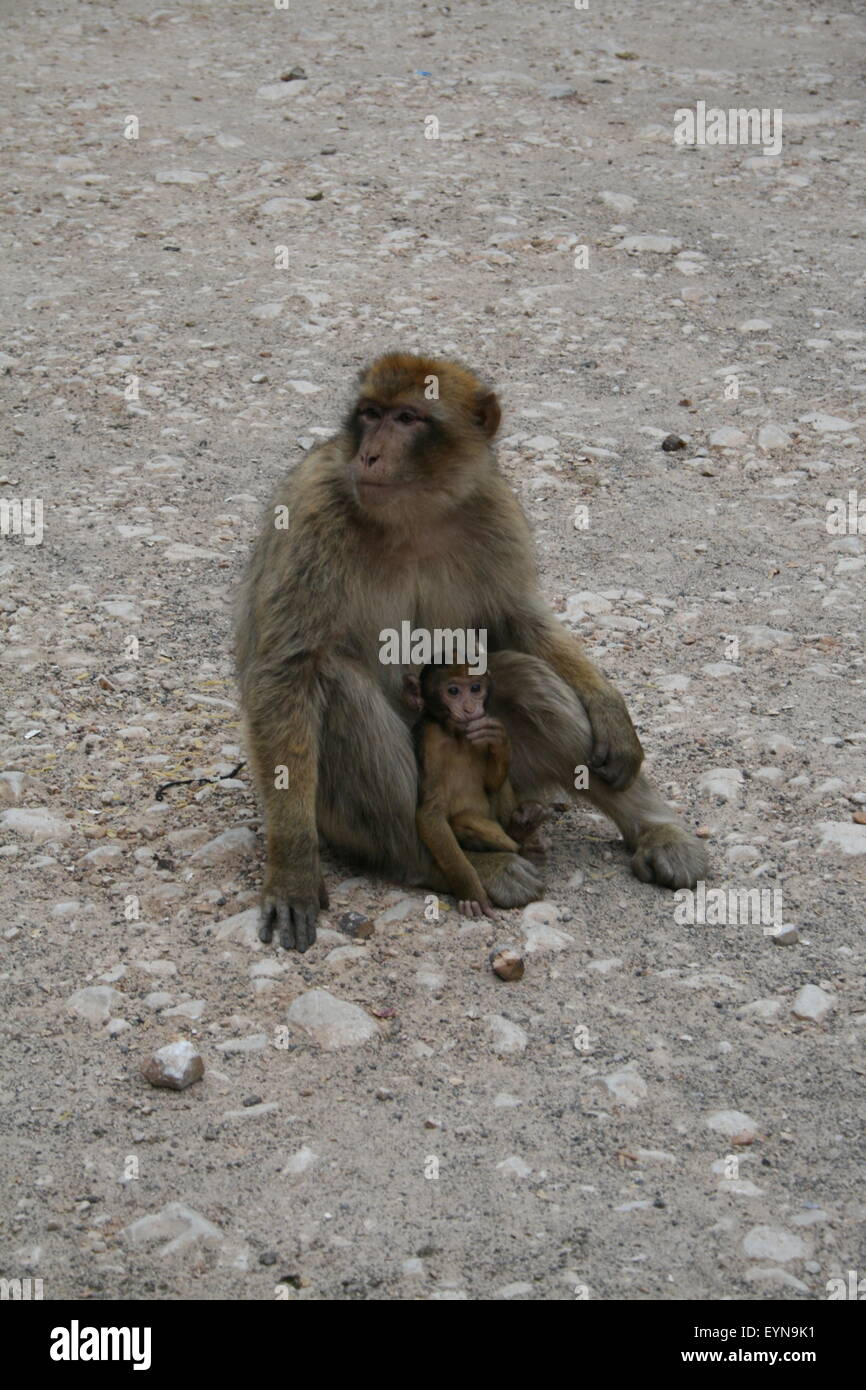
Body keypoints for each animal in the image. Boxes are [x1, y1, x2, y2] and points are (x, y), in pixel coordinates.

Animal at [402, 663, 550, 918]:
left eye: (475, 688)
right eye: (453, 691)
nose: (471, 708)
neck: (456, 735)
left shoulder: (481, 728)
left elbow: (491, 782)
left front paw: (501, 741)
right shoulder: (429, 740)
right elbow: (430, 812)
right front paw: (470, 890)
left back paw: (522, 827)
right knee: (465, 820)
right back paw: (523, 847)